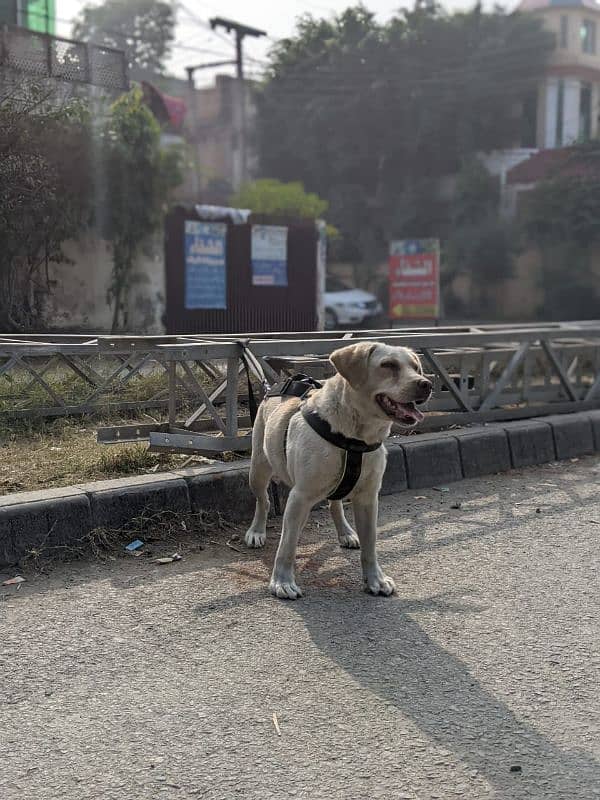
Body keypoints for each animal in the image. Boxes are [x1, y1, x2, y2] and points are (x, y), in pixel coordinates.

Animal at [244, 342, 432, 600]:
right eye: (388, 365)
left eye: (415, 367)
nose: (426, 384)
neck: (354, 437)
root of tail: (271, 387)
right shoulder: (300, 496)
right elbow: (287, 545)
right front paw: (282, 581)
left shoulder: (368, 499)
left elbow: (370, 544)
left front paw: (375, 579)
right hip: (258, 470)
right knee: (263, 501)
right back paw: (256, 530)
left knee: (335, 504)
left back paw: (345, 532)